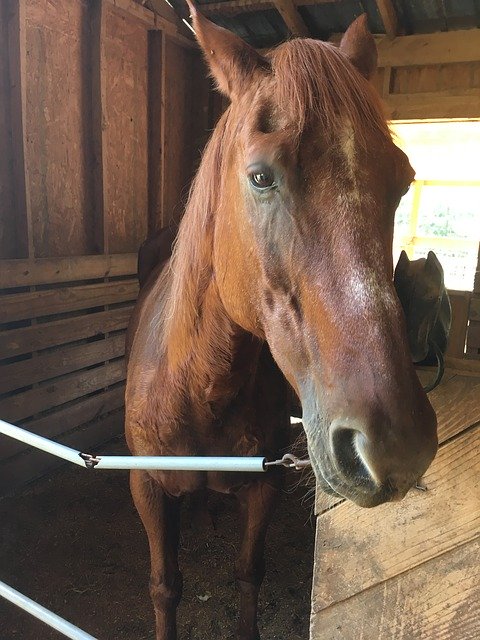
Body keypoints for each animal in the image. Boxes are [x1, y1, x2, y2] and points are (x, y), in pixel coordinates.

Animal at [124, 6, 438, 640]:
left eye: (402, 180)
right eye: (261, 177)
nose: (396, 446)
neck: (197, 385)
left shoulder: (263, 486)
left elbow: (250, 574)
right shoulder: (145, 487)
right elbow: (165, 587)